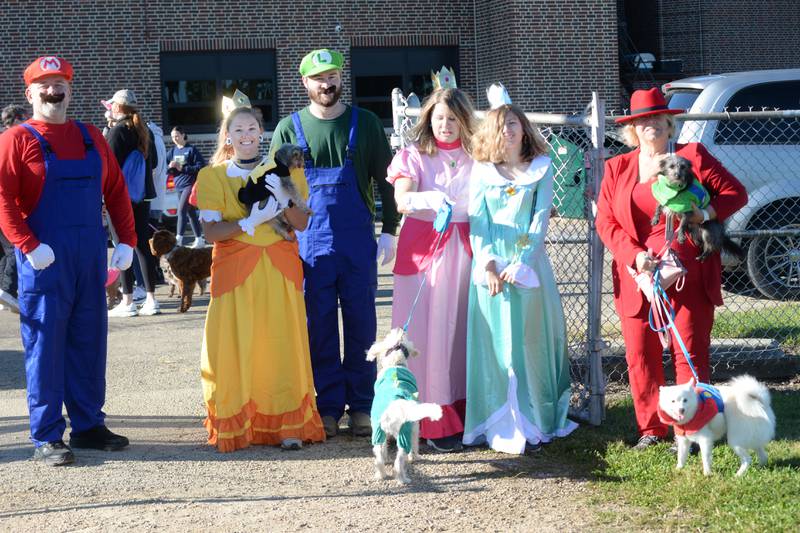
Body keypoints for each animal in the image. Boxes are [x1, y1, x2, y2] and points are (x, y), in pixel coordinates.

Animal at [368, 326, 444, 484]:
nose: (401, 330)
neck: (396, 362)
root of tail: (395, 407)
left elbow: (383, 450)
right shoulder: (415, 425)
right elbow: (415, 443)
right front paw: (415, 457)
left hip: (378, 431)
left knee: (379, 455)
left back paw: (381, 475)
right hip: (405, 433)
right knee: (400, 459)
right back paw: (402, 478)